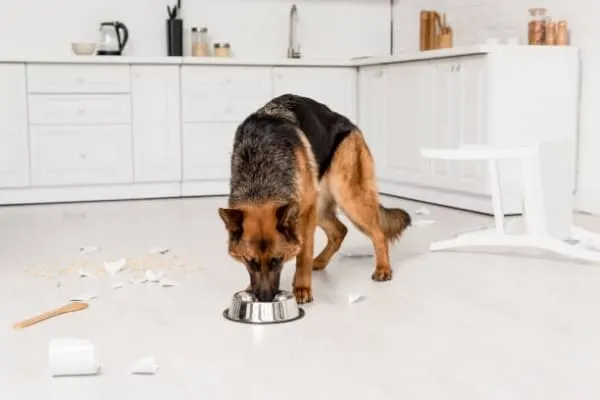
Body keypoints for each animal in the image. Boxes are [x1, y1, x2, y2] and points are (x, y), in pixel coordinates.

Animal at [219, 94, 412, 304]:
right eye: (250, 262)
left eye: (277, 260)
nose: (264, 299)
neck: (261, 175)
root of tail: (350, 124)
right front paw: (249, 288)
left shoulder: (306, 211)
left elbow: (303, 254)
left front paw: (302, 288)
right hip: (320, 209)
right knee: (340, 231)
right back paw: (319, 261)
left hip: (347, 197)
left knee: (379, 234)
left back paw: (383, 268)